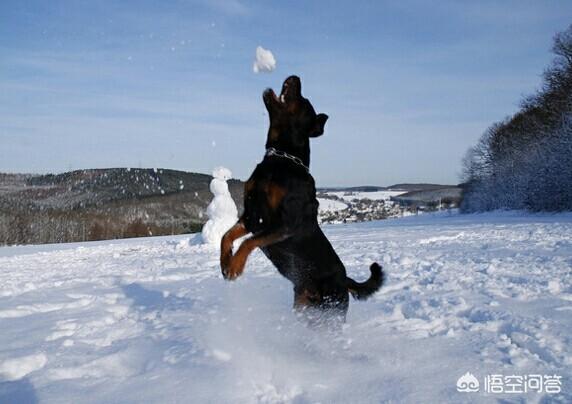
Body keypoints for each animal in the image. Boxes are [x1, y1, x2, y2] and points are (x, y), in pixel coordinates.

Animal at [219, 75, 384, 322]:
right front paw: (225, 263)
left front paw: (236, 266)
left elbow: (249, 242)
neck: (281, 159)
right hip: (303, 307)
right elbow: (226, 236)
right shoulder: (251, 216)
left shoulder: (285, 223)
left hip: (332, 313)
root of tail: (345, 280)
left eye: (304, 100)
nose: (295, 77)